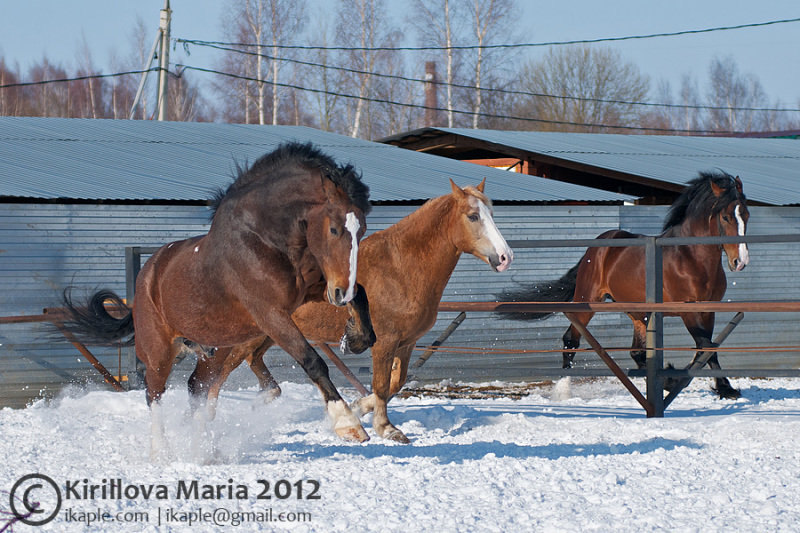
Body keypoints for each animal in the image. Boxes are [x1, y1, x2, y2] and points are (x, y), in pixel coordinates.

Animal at [62, 141, 376, 454]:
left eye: (361, 229)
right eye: (334, 229)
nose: (340, 292)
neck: (265, 239)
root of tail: (147, 276)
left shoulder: (310, 293)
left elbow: (363, 301)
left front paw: (353, 338)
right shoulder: (270, 313)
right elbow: (312, 360)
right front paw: (349, 423)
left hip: (217, 348)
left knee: (196, 387)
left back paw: (202, 449)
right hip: (159, 350)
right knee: (154, 394)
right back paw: (161, 451)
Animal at [190, 179, 512, 440]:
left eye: (491, 214)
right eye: (473, 216)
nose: (505, 257)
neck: (401, 266)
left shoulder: (406, 344)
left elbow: (394, 383)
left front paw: (357, 408)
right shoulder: (385, 343)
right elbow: (381, 385)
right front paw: (386, 428)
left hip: (269, 334)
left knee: (249, 364)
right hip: (245, 336)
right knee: (216, 377)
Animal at [500, 170, 752, 400]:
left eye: (746, 215)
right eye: (726, 217)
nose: (740, 262)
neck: (690, 257)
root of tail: (598, 245)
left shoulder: (708, 310)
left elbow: (707, 348)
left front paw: (718, 387)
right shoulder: (688, 311)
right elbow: (706, 346)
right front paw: (726, 389)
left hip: (638, 312)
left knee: (636, 352)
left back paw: (667, 381)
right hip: (588, 299)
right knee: (571, 339)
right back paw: (563, 391)